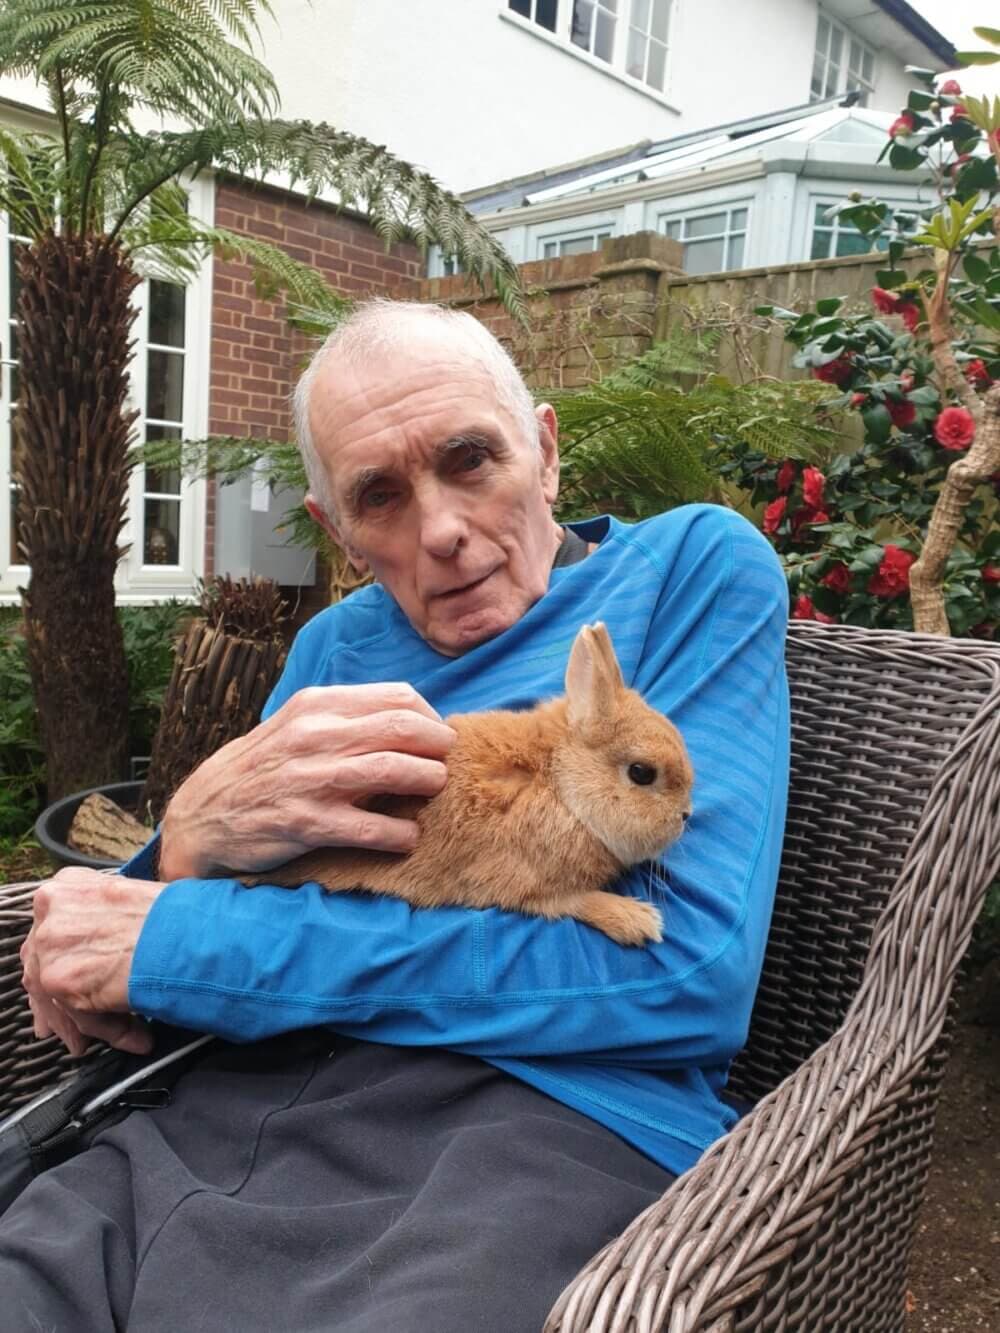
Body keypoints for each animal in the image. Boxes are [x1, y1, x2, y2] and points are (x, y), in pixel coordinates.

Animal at [241, 623, 693, 947]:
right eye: (642, 773)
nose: (687, 815)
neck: (558, 782)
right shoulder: (529, 885)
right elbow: (573, 901)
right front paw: (639, 921)